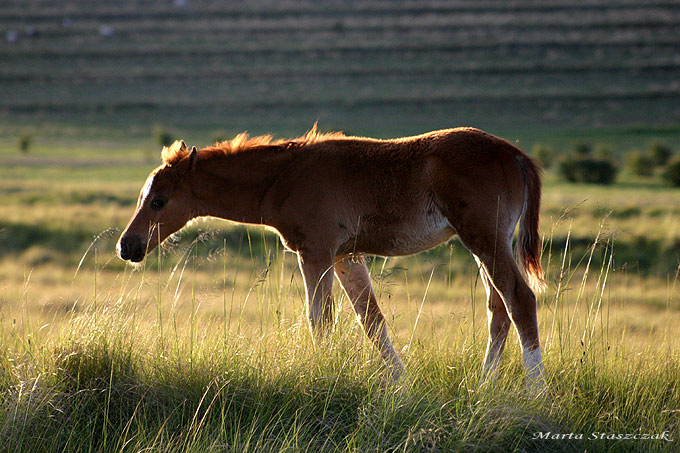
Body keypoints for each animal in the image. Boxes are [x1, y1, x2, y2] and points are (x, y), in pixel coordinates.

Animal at [117, 126, 544, 382]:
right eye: (142, 196)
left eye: (158, 201)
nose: (127, 246)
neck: (285, 178)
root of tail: (514, 154)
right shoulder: (345, 257)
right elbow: (371, 320)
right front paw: (401, 385)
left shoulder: (317, 253)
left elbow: (319, 319)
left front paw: (321, 374)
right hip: (486, 244)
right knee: (498, 308)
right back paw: (483, 386)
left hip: (483, 239)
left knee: (519, 299)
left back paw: (534, 388)